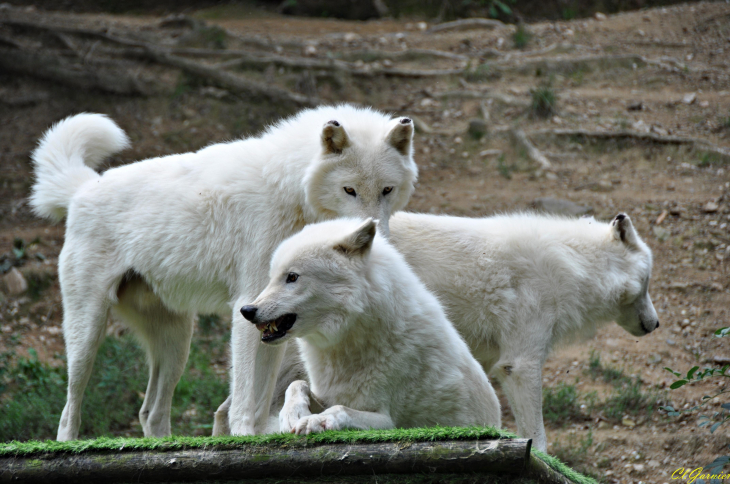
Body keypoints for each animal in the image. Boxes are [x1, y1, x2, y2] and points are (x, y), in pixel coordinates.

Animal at [29, 106, 416, 442]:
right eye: (349, 190)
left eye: (387, 190)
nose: (378, 238)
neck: (289, 190)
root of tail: (84, 188)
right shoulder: (247, 307)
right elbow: (244, 397)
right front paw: (244, 436)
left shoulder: (277, 320)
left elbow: (262, 398)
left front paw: (261, 434)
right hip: (88, 334)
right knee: (69, 410)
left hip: (176, 344)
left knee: (149, 412)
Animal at [239, 219, 500, 434]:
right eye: (273, 278)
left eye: (292, 277)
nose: (247, 311)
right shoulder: (326, 394)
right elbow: (296, 385)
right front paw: (292, 415)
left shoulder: (388, 421)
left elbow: (340, 409)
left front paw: (316, 420)